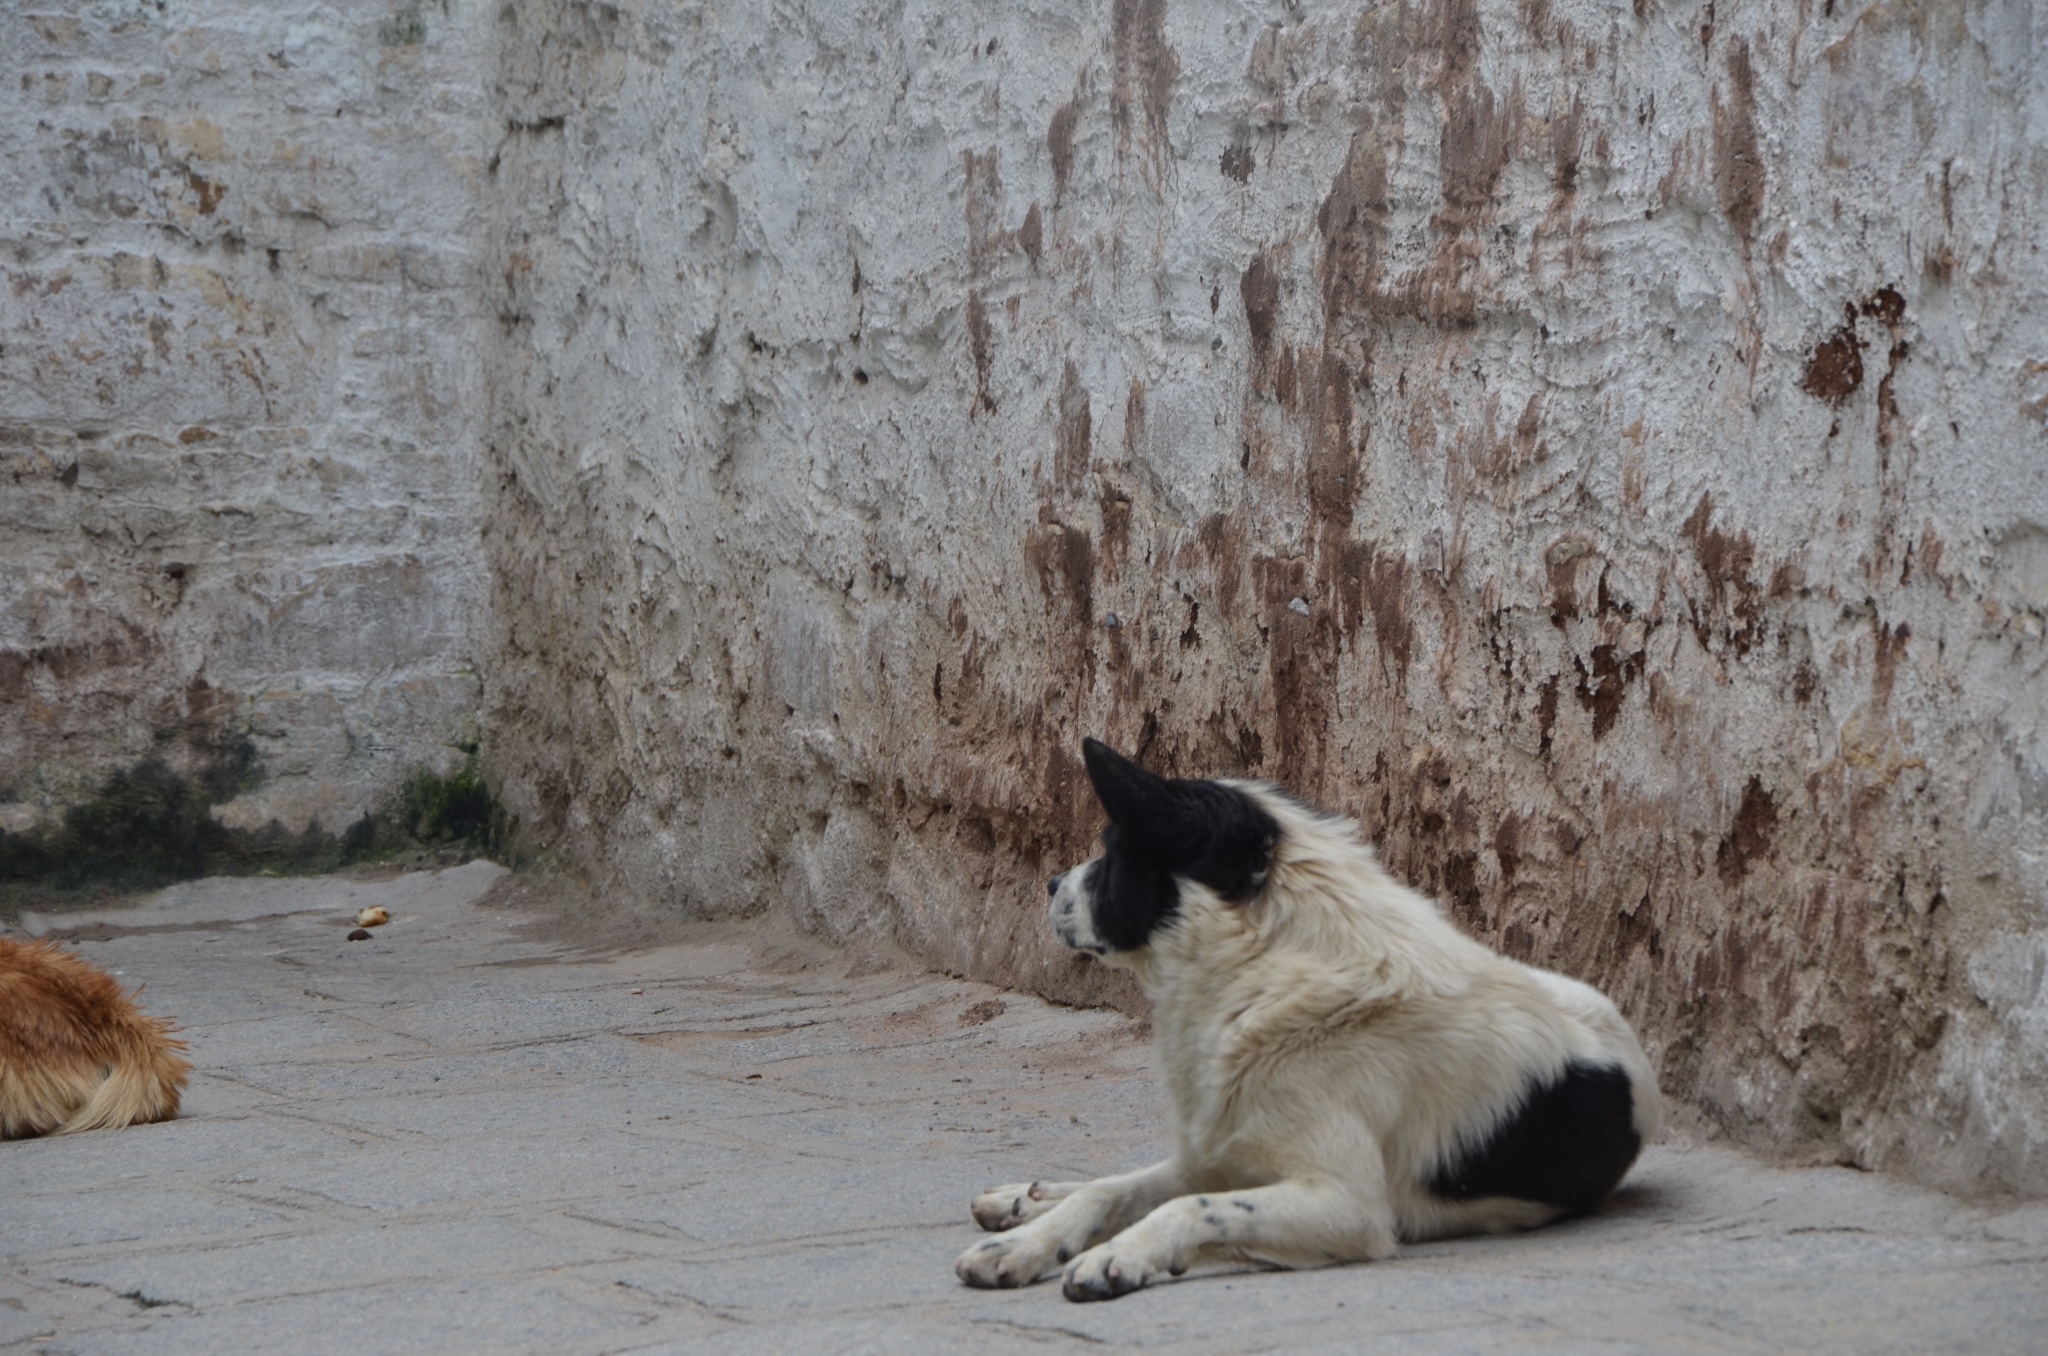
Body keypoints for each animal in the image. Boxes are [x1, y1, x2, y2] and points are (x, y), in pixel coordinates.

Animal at [950, 745, 1654, 1310]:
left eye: (1111, 855)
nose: (1050, 884)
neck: (1263, 970)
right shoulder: (1219, 1154)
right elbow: (1106, 1194)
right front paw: (1026, 1241)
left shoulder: (1349, 1206)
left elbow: (1189, 1205)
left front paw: (1116, 1255)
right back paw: (1025, 1197)